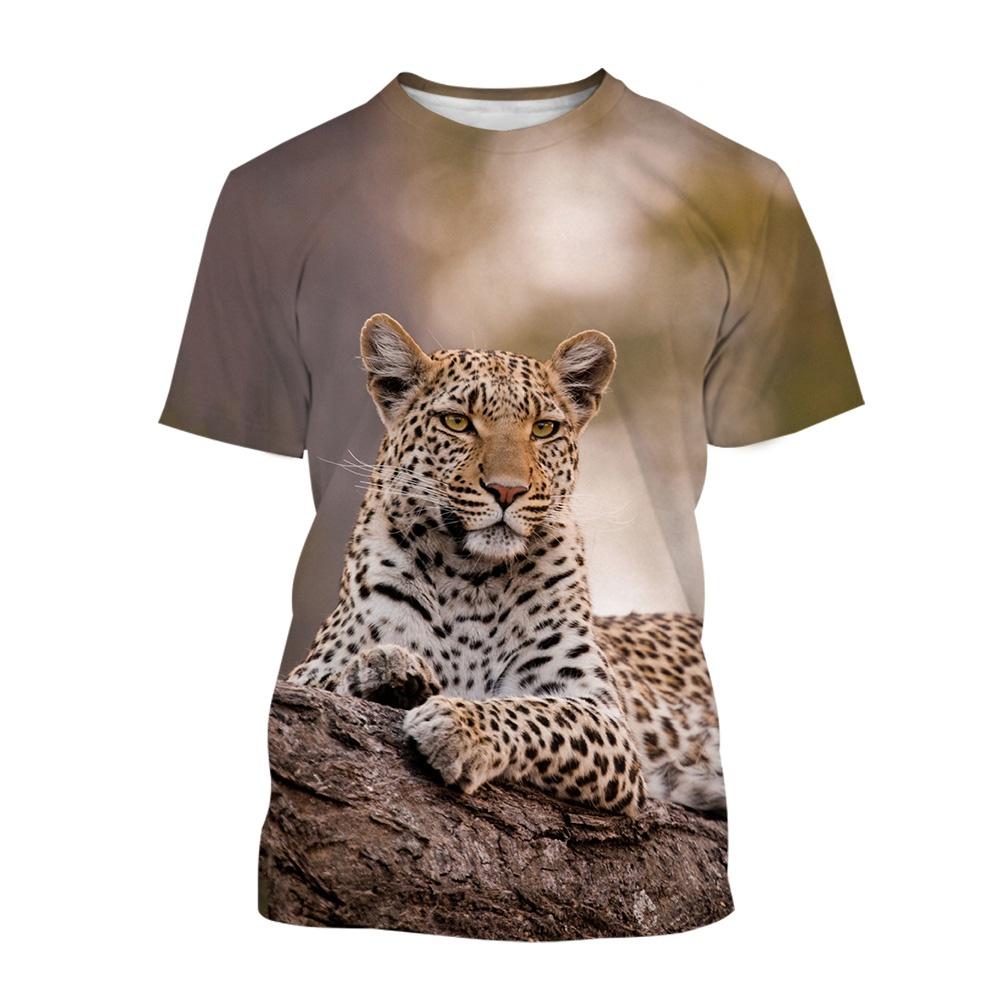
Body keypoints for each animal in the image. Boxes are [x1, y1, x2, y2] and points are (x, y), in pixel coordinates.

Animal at [287, 313, 726, 819]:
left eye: (544, 428)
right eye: (457, 422)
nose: (507, 490)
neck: (471, 576)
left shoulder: (603, 716)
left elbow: (538, 714)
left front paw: (459, 725)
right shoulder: (309, 669)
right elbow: (331, 676)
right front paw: (384, 671)